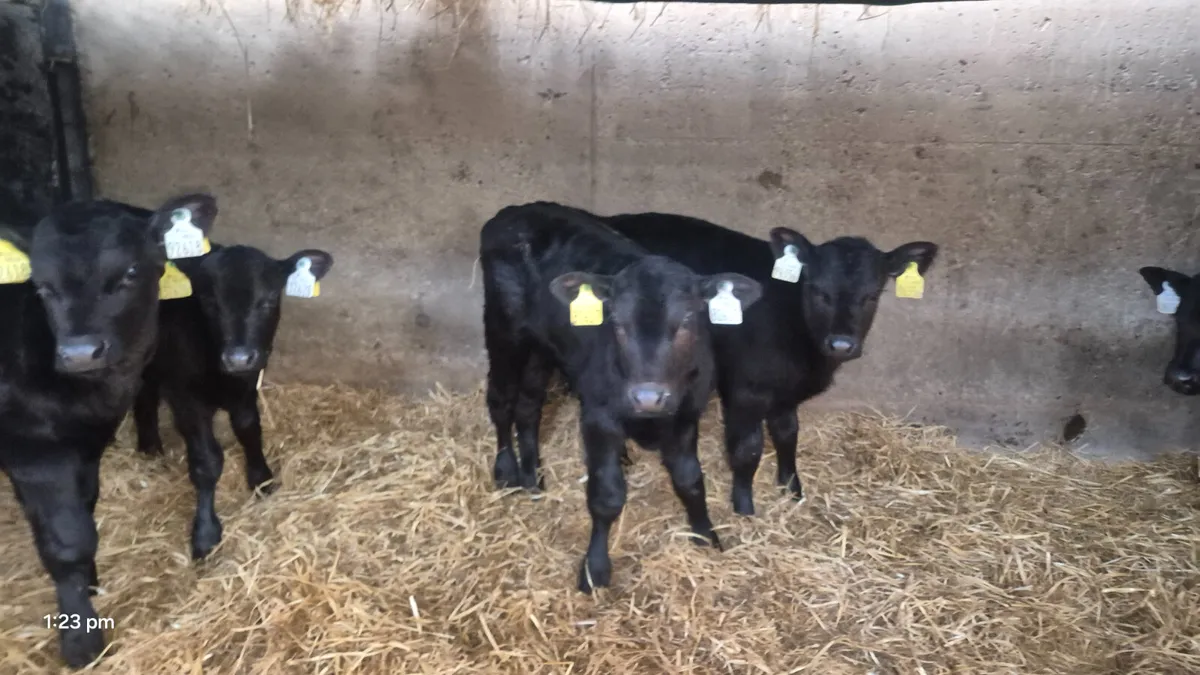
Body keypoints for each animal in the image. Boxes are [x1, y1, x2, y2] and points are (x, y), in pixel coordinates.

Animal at [0, 194, 218, 668]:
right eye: (41, 286)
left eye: (131, 273)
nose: (80, 352)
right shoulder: (32, 450)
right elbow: (69, 542)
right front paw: (81, 639)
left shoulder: (86, 444)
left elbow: (84, 513)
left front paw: (90, 584)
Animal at [131, 237, 334, 560]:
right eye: (209, 302)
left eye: (268, 299)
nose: (238, 357)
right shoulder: (187, 399)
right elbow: (207, 462)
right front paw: (205, 534)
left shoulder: (247, 386)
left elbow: (249, 429)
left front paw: (261, 478)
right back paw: (149, 446)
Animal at [479, 202, 763, 593]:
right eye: (615, 322)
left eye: (687, 320)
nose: (647, 397)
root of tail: (516, 210)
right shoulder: (599, 417)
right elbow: (606, 495)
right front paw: (594, 569)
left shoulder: (687, 413)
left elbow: (690, 479)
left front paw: (706, 535)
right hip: (503, 329)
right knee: (501, 399)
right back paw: (506, 471)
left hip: (543, 348)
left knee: (529, 406)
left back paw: (532, 477)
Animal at [605, 213, 938, 516]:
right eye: (818, 290)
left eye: (872, 295)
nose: (841, 344)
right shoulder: (744, 391)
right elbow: (747, 449)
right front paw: (744, 508)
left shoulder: (786, 393)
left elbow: (787, 434)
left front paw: (792, 489)